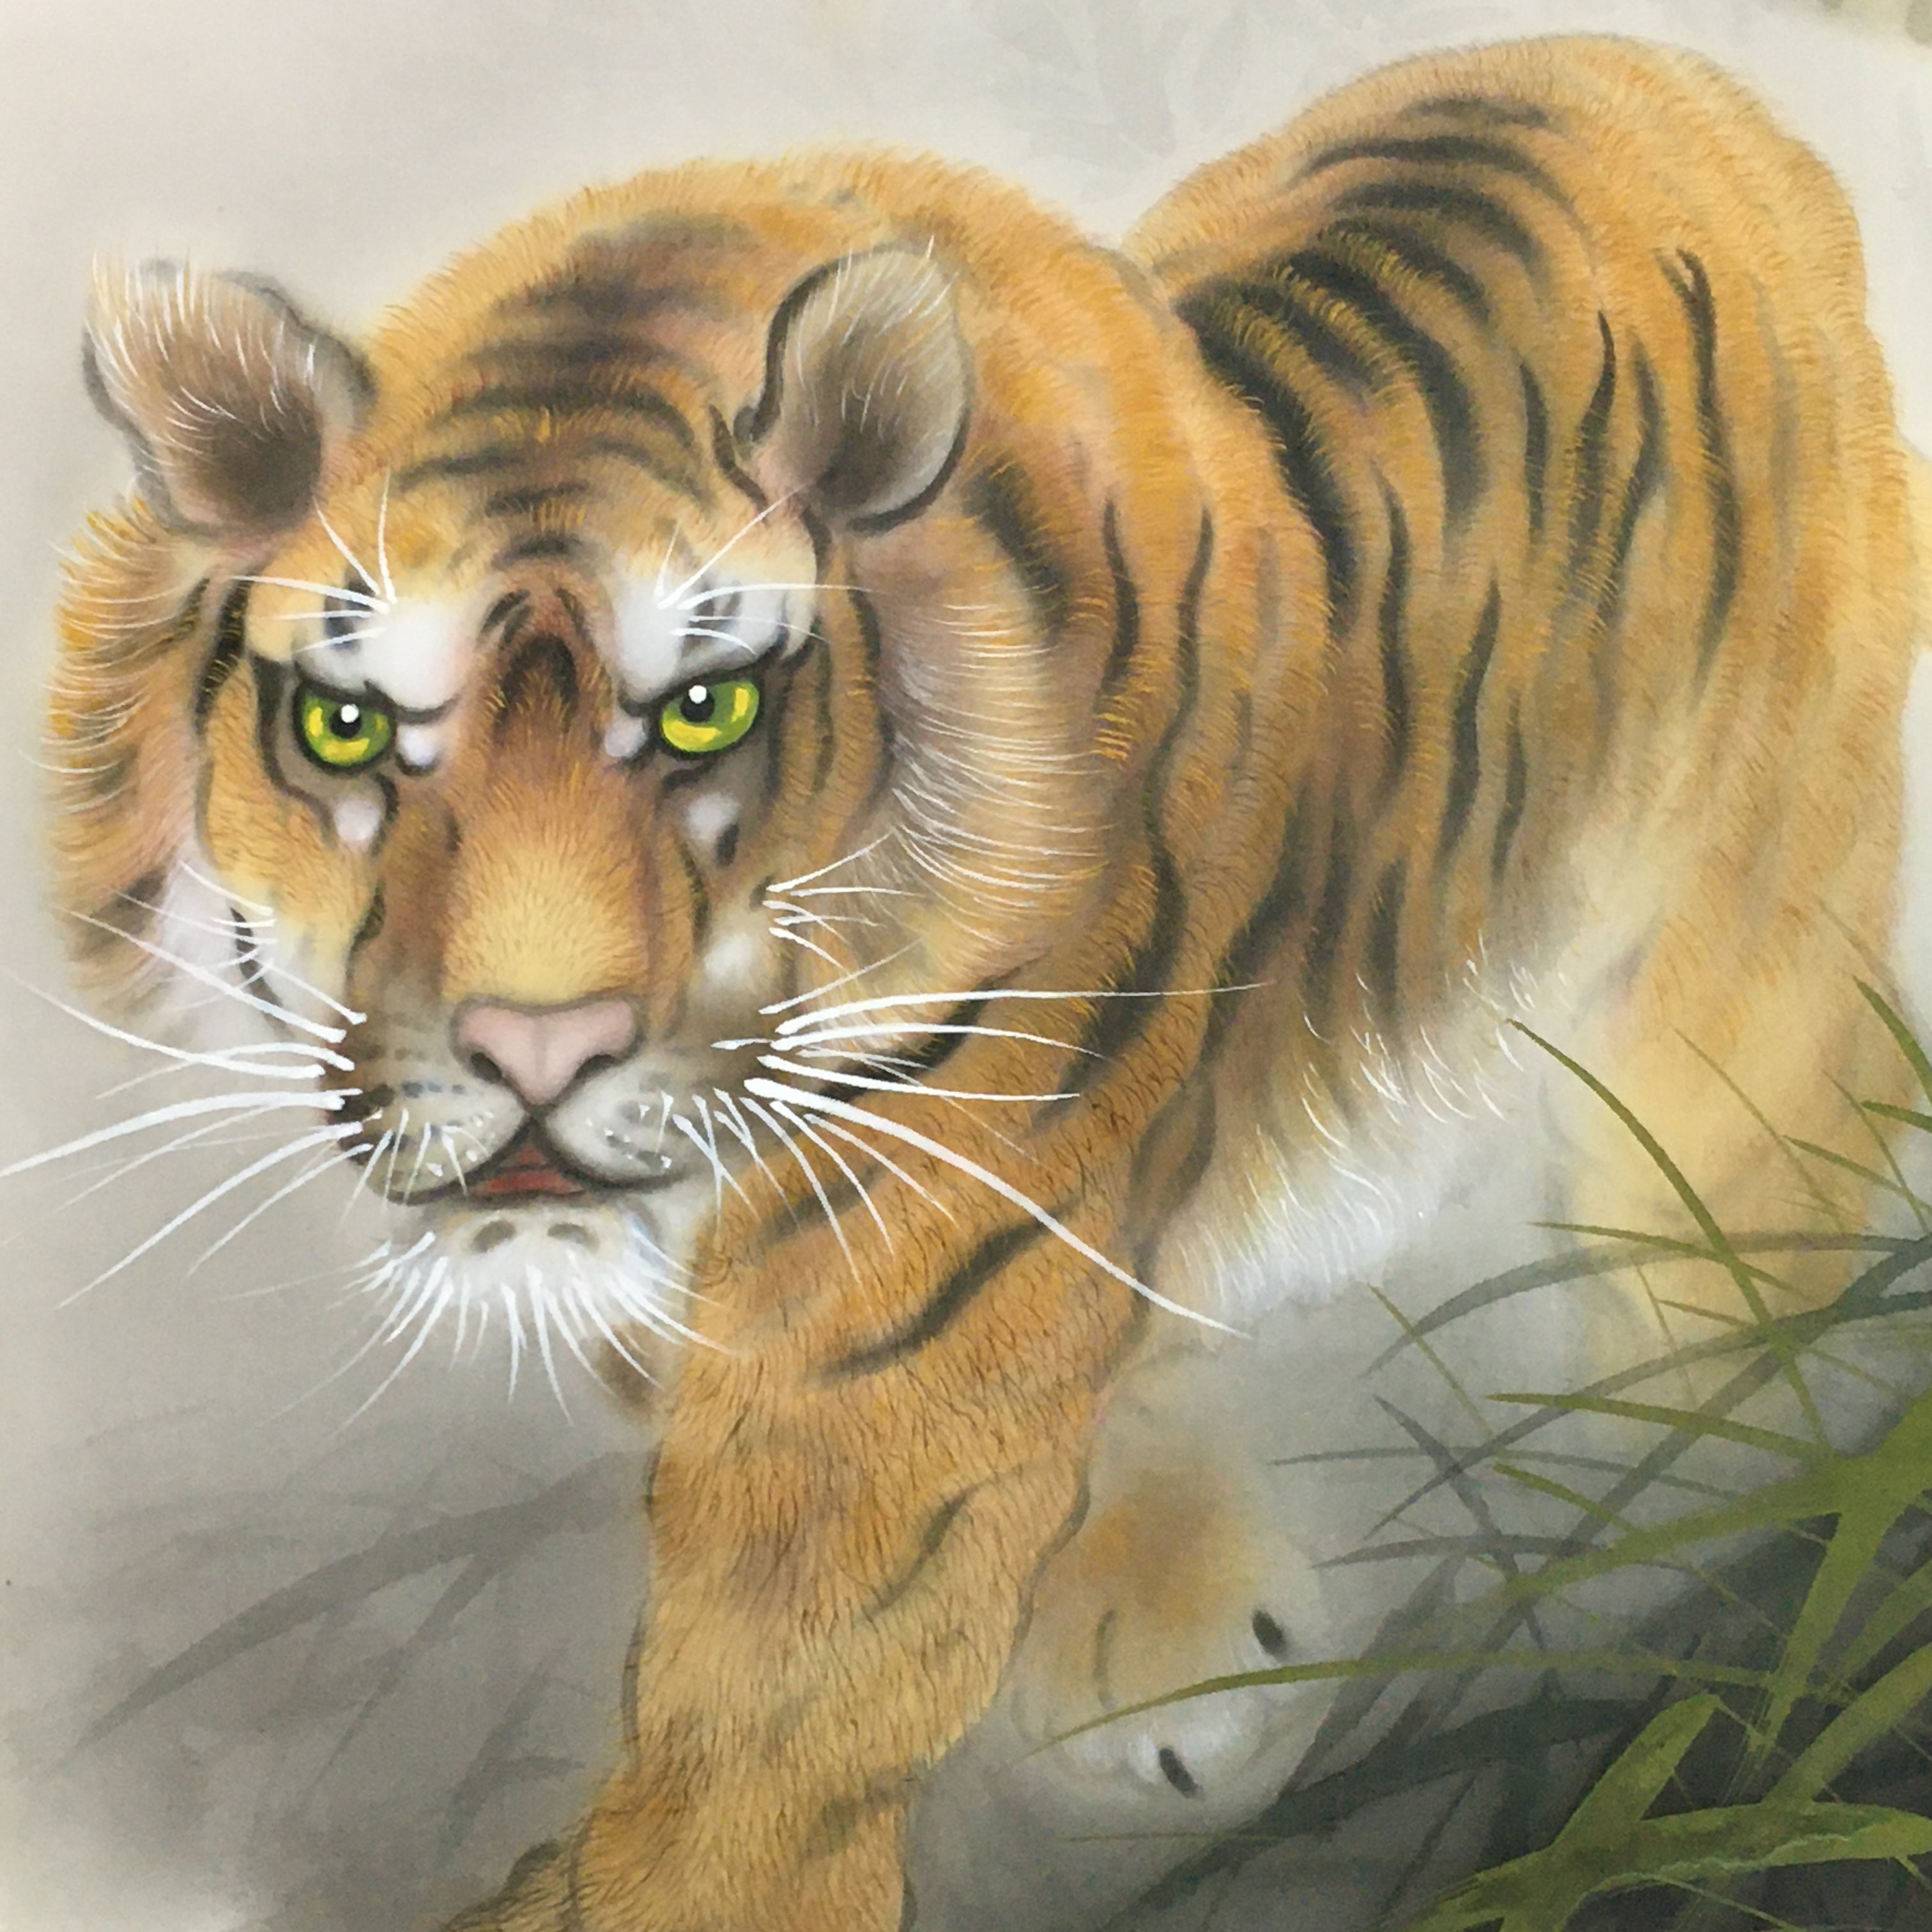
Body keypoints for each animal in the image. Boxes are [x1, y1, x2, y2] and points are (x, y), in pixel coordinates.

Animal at [44, 28, 1932, 1932]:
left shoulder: (870, 1358)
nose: (534, 1053)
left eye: (705, 711)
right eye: (351, 730)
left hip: (1723, 1054)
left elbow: (761, 1744)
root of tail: (1650, 66)